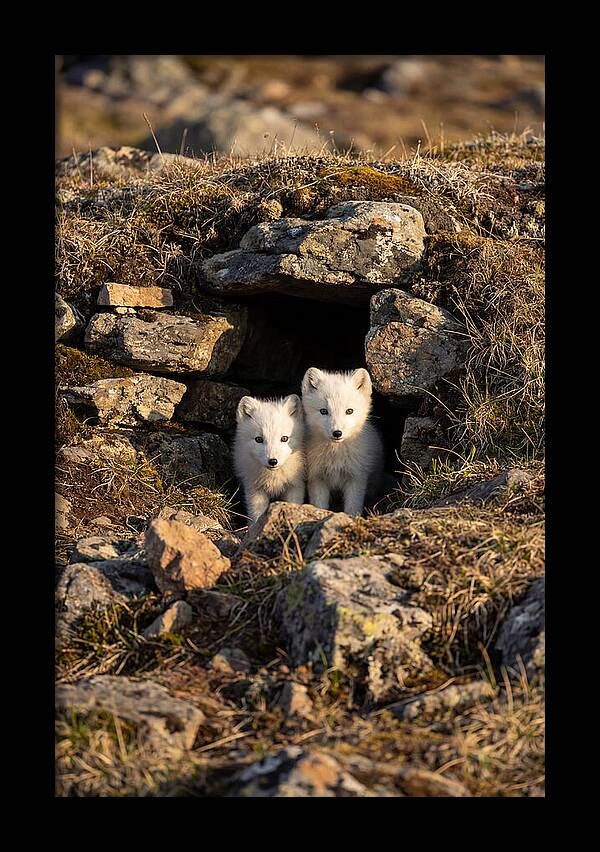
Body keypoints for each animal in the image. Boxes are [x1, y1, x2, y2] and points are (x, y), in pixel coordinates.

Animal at [233, 394, 306, 523]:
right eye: (259, 439)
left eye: (284, 438)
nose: (273, 461)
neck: (273, 477)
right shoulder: (255, 490)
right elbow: (256, 516)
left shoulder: (295, 486)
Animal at [301, 367, 384, 516]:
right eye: (323, 411)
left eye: (349, 411)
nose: (337, 433)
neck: (335, 455)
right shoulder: (316, 478)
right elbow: (320, 505)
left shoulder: (356, 478)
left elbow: (352, 508)